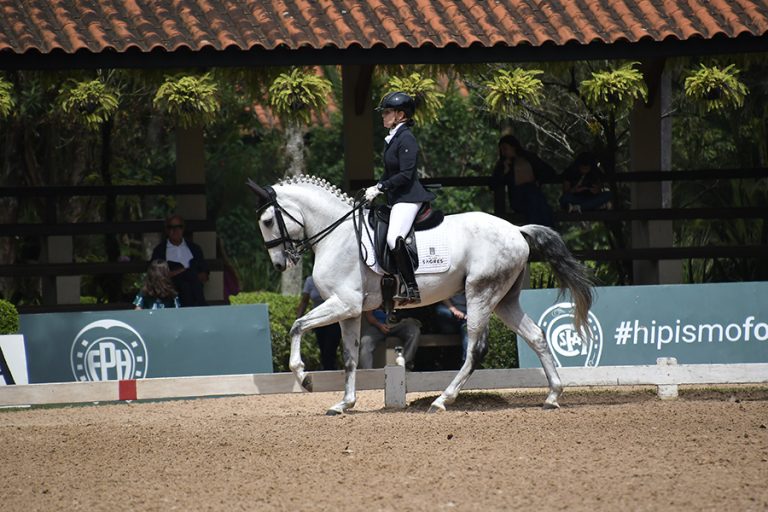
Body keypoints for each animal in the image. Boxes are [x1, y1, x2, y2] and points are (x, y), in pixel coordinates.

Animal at [249, 174, 596, 414]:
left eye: (267, 221)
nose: (280, 264)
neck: (337, 235)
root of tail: (516, 229)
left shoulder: (342, 304)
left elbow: (297, 326)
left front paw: (304, 378)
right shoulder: (349, 310)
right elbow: (349, 358)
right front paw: (343, 404)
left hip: (480, 293)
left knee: (475, 349)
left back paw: (442, 400)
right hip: (504, 301)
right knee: (536, 336)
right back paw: (552, 396)